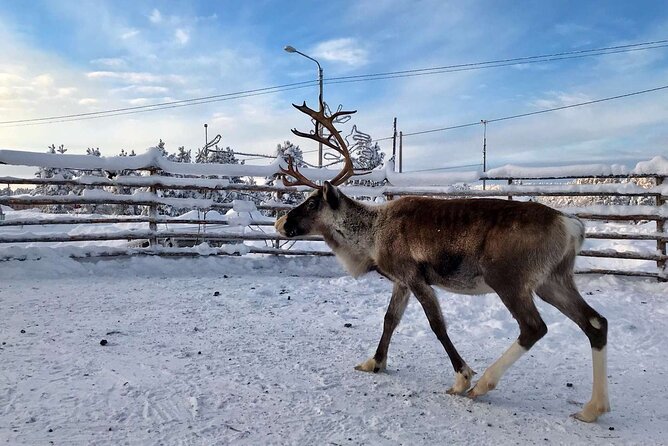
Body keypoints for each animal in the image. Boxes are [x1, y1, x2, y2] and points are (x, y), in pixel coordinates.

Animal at [274, 102, 610, 423]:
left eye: (312, 203)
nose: (279, 222)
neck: (372, 235)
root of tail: (572, 226)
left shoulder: (415, 277)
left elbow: (437, 325)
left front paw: (462, 377)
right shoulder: (401, 281)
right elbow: (389, 319)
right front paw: (373, 362)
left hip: (510, 280)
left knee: (534, 327)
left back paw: (483, 384)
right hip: (553, 280)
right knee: (596, 323)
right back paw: (592, 408)